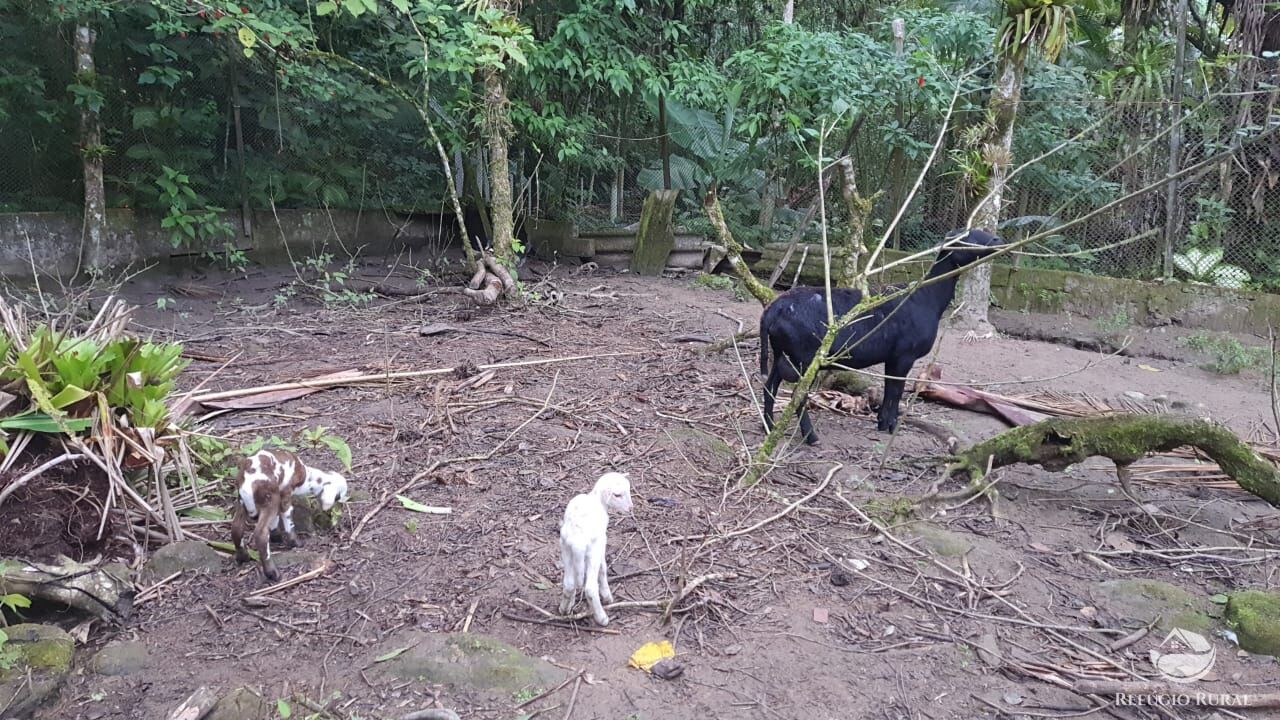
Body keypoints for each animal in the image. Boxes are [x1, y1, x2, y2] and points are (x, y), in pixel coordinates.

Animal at [752, 228, 1003, 443]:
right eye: (966, 237)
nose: (997, 240)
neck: (929, 297)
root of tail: (772, 311)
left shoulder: (892, 357)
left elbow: (889, 389)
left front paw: (883, 423)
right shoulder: (904, 355)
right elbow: (896, 391)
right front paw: (890, 426)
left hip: (782, 352)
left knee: (770, 385)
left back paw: (769, 426)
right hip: (804, 358)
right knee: (798, 393)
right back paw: (811, 437)